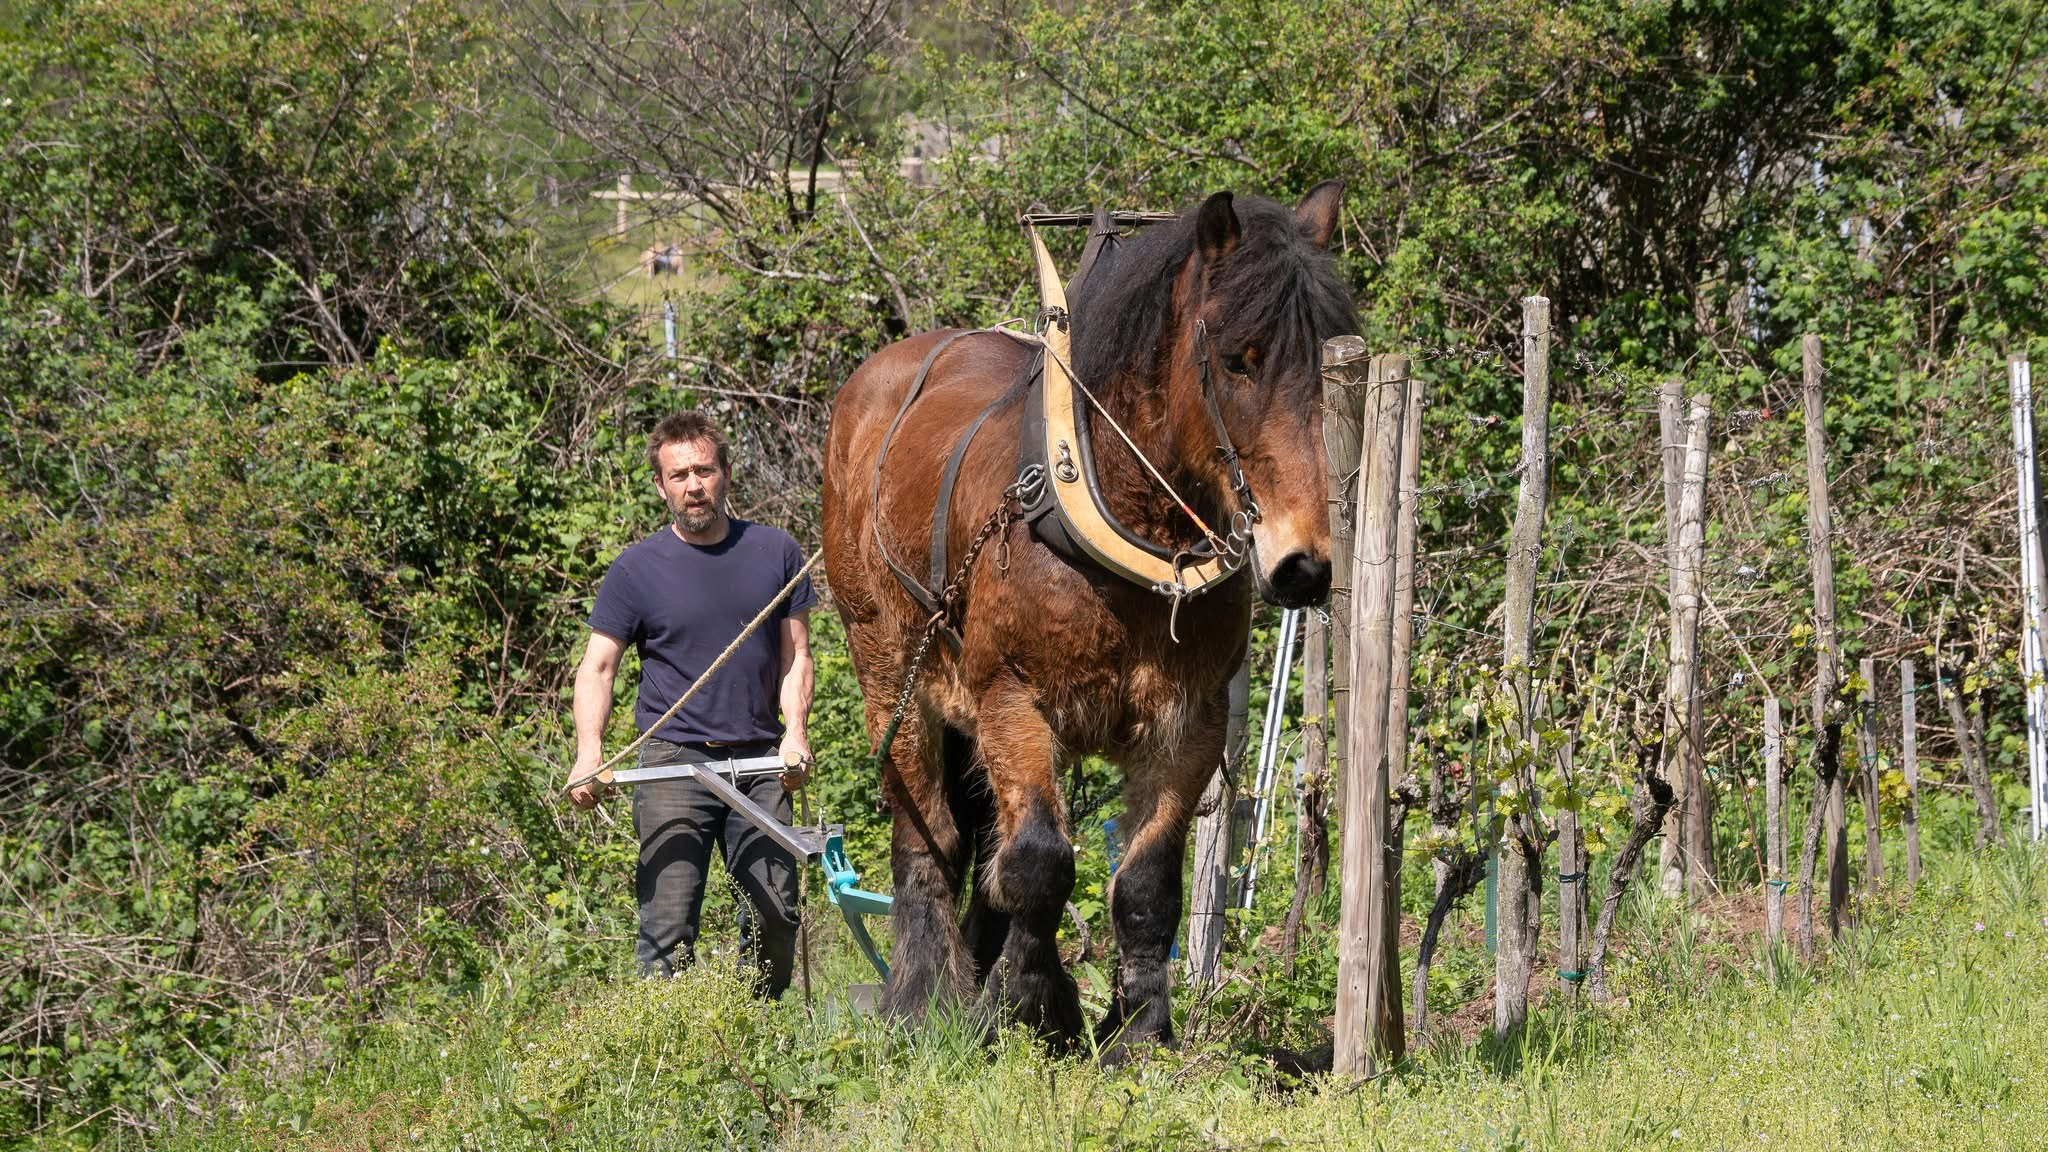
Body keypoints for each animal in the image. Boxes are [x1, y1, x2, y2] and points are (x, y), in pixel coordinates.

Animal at [815, 181, 1359, 1049]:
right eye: (1237, 358)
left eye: (1331, 361)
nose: (1305, 564)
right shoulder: (1010, 699)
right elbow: (1040, 861)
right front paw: (1040, 1004)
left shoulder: (1190, 721)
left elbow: (1145, 883)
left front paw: (1136, 1030)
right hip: (890, 671)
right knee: (927, 829)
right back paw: (924, 995)